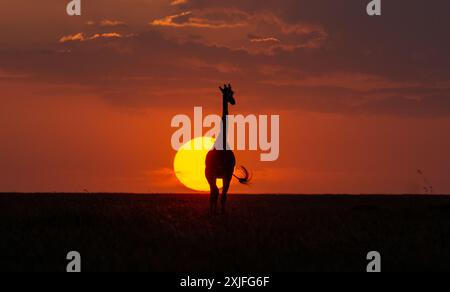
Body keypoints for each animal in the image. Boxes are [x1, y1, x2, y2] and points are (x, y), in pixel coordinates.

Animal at [206, 84, 251, 214]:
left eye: (233, 92)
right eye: (225, 93)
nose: (233, 101)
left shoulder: (228, 174)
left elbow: (224, 195)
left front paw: (222, 213)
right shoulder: (213, 173)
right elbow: (216, 192)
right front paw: (214, 212)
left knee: (216, 192)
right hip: (209, 174)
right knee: (213, 192)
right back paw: (211, 211)